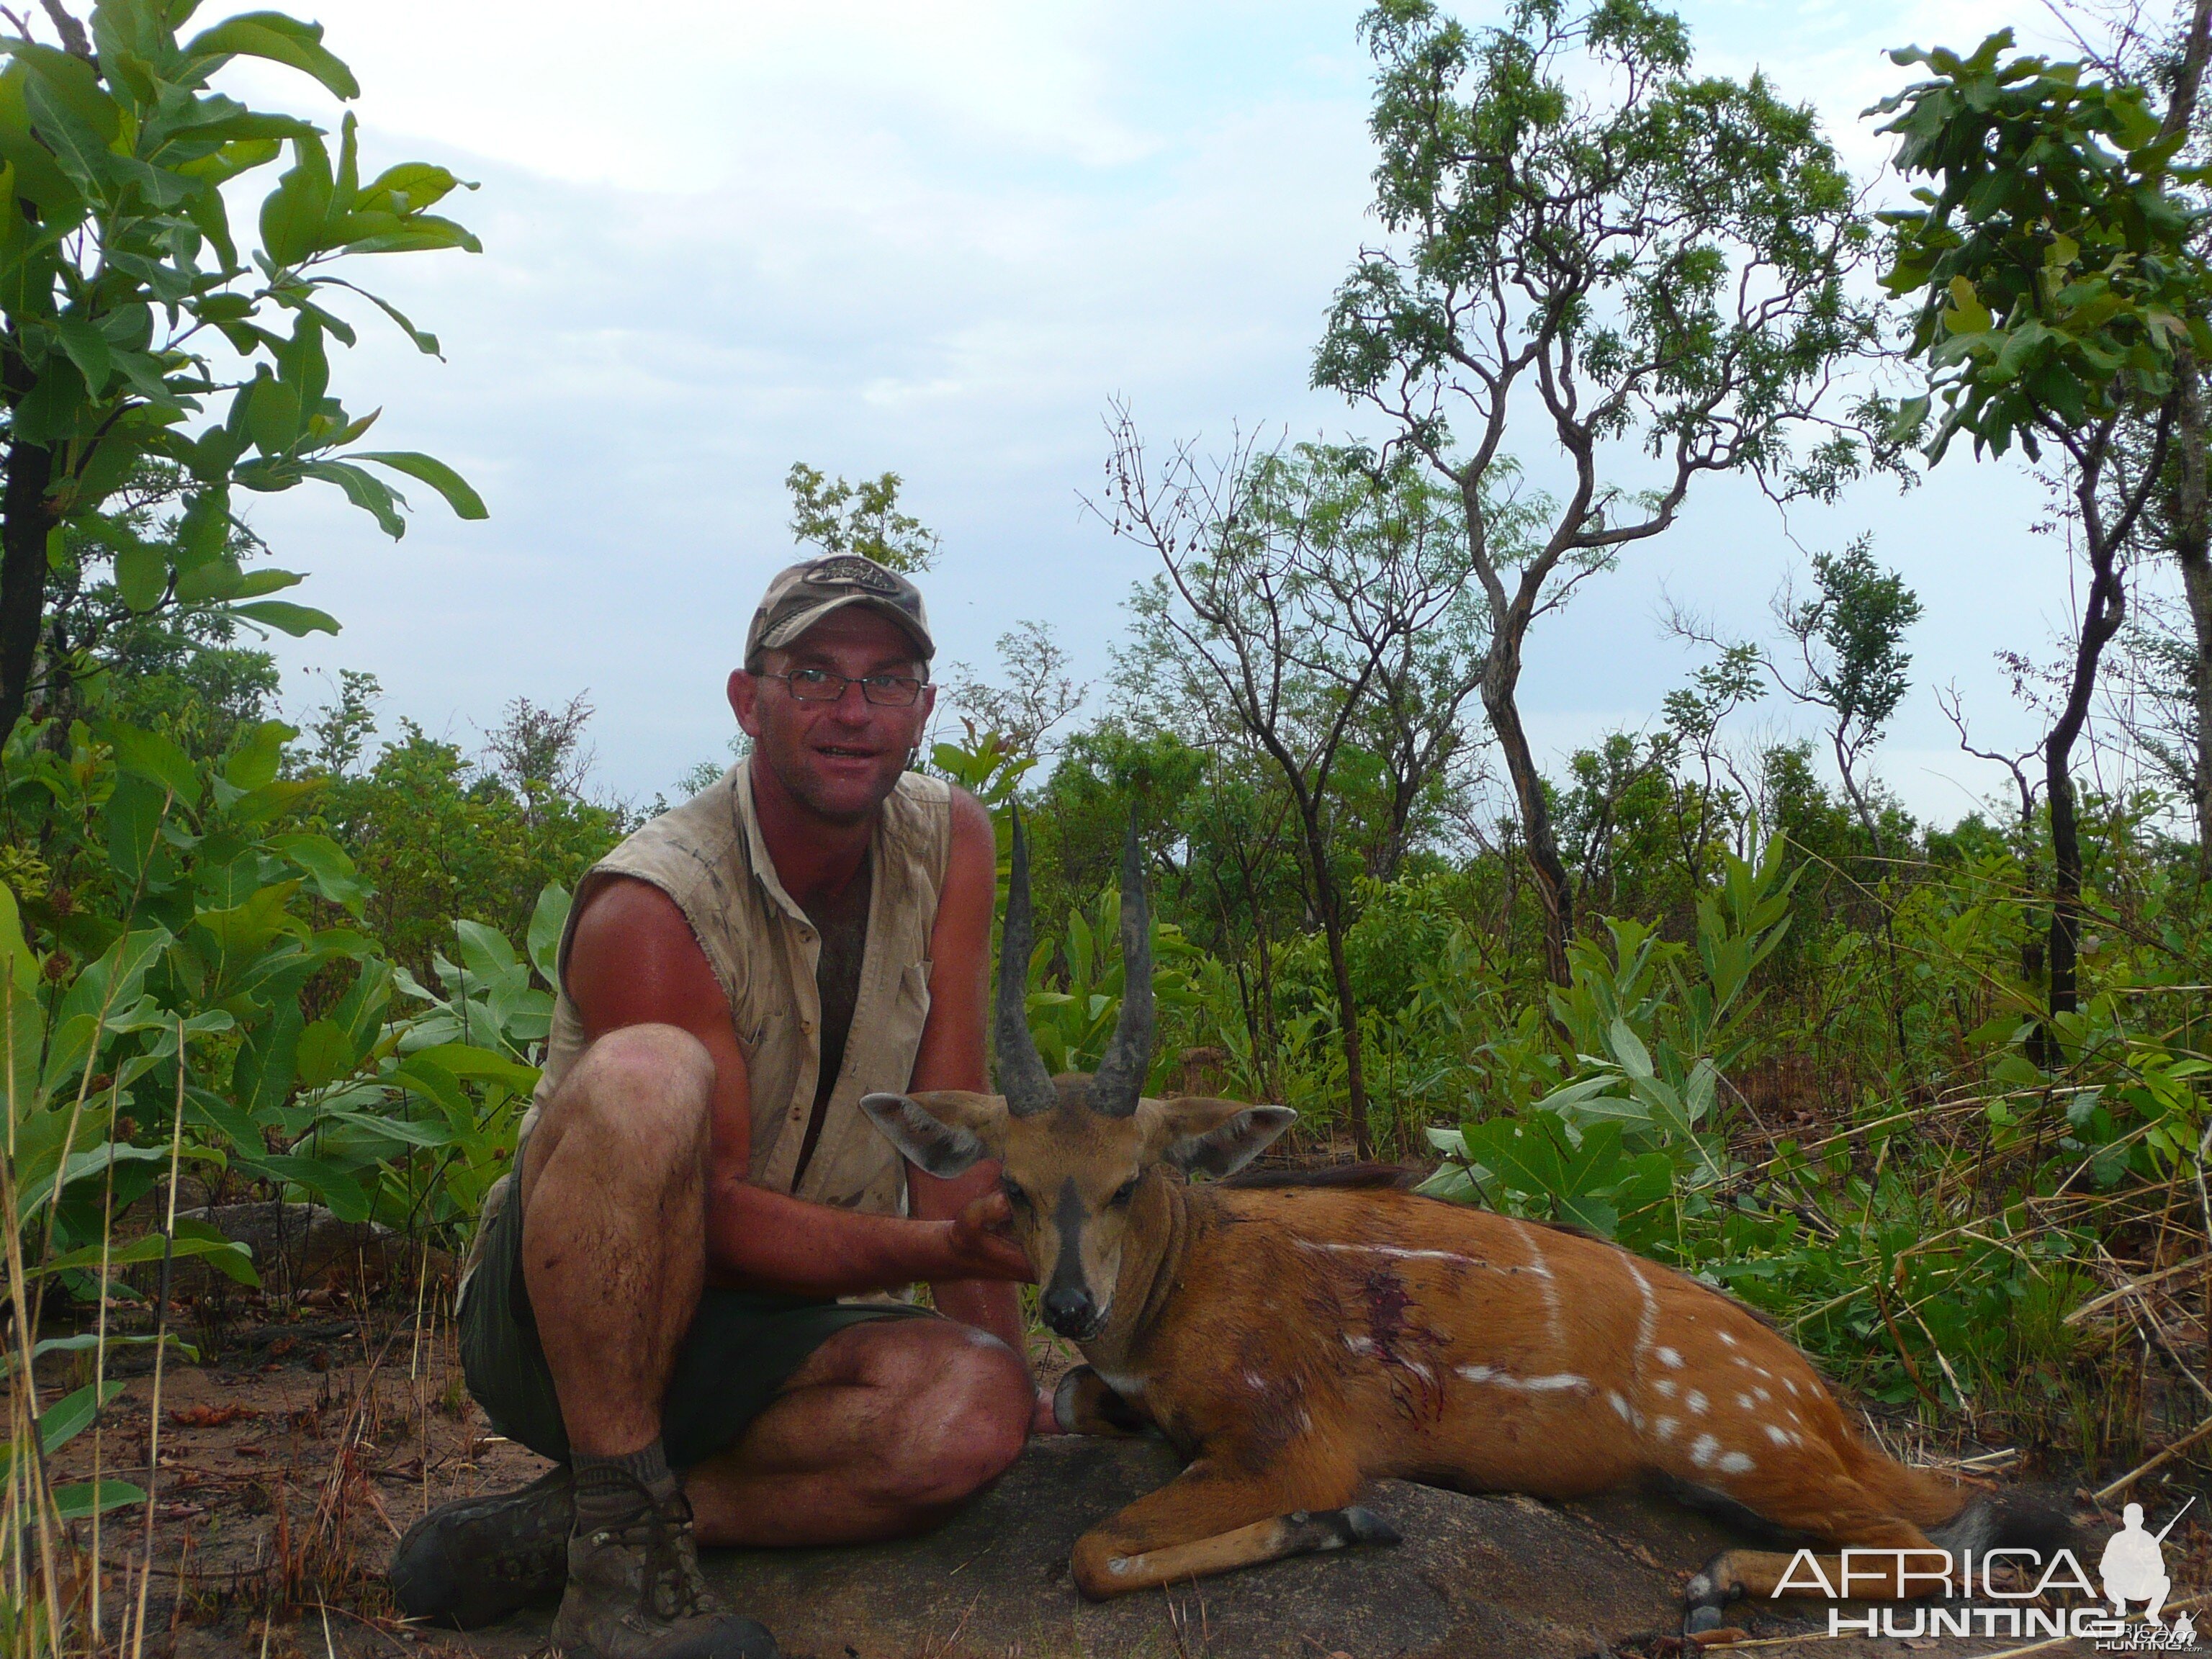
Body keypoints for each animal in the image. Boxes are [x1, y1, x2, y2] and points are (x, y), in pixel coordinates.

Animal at [853, 822, 2062, 1637]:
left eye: (1128, 1181)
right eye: (1013, 1185)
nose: (1068, 1304)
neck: (1173, 1291)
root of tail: (1819, 1399)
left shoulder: (1289, 1439)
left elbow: (1094, 1551)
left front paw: (1343, 1526)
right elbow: (1067, 1406)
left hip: (1734, 1443)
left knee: (1931, 1544)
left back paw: (1714, 1584)